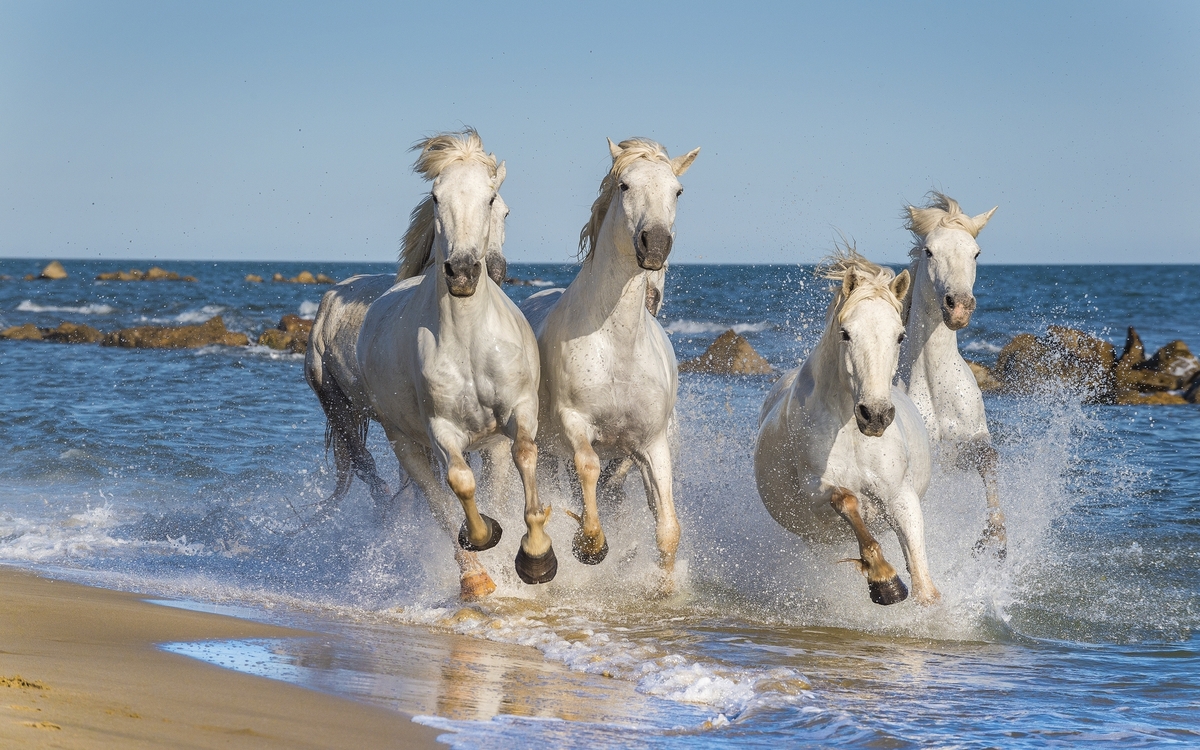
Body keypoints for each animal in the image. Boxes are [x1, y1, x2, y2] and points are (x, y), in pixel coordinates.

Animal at [357, 130, 550, 600]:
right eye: (435, 196)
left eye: (494, 199)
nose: (462, 272)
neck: (468, 340)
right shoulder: (441, 430)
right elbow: (461, 485)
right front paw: (485, 538)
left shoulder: (519, 412)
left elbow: (526, 456)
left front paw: (537, 557)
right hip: (406, 444)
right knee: (439, 502)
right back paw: (475, 577)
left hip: (489, 446)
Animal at [519, 137, 699, 588]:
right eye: (624, 185)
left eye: (678, 191)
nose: (655, 244)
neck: (618, 347)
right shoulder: (574, 422)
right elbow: (587, 466)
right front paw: (590, 545)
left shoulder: (651, 443)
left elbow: (667, 527)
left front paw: (664, 587)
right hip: (548, 451)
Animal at [754, 249, 940, 606]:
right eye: (846, 333)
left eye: (900, 336)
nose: (875, 416)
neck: (853, 434)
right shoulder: (817, 492)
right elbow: (847, 500)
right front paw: (885, 580)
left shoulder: (901, 496)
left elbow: (924, 582)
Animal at [896, 193, 1004, 558]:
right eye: (929, 251)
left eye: (976, 252)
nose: (958, 306)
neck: (935, 384)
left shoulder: (968, 444)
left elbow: (989, 459)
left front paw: (995, 536)